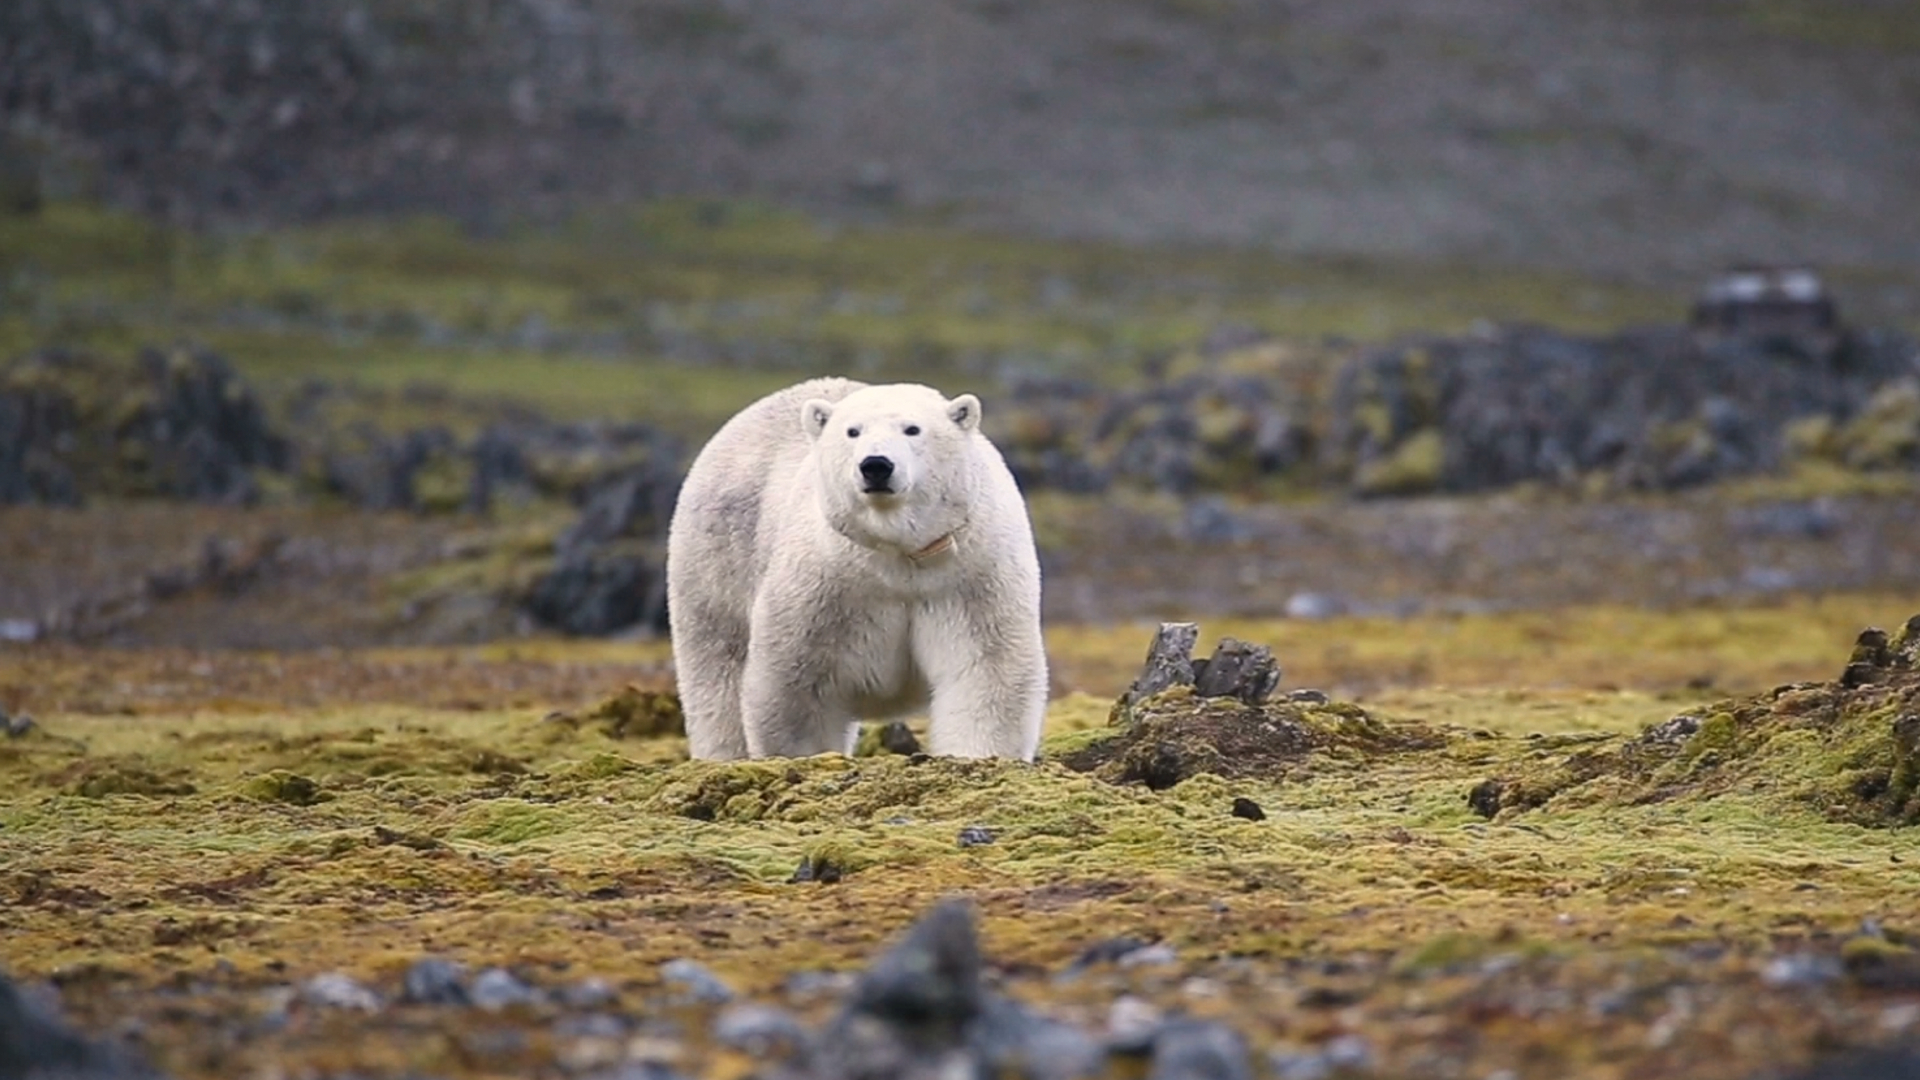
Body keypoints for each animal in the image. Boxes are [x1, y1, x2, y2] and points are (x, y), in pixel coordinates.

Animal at [665, 377, 1048, 762]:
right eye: (853, 431)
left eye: (912, 429)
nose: (876, 465)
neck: (898, 555)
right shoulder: (825, 584)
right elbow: (795, 682)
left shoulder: (968, 576)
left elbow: (985, 667)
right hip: (717, 558)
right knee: (717, 669)